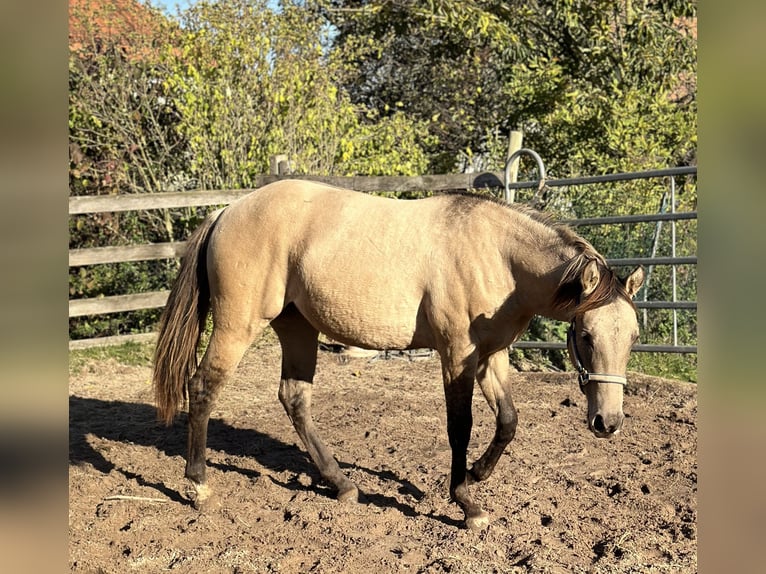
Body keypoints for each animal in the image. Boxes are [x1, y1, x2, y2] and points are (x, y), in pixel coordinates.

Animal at [153, 180, 644, 532]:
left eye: (633, 336)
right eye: (585, 336)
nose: (608, 422)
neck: (497, 255)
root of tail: (226, 211)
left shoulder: (492, 355)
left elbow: (508, 422)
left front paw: (477, 476)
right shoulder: (457, 355)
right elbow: (460, 427)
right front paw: (466, 503)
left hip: (297, 327)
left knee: (294, 399)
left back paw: (343, 485)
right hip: (238, 325)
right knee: (202, 387)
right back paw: (198, 486)